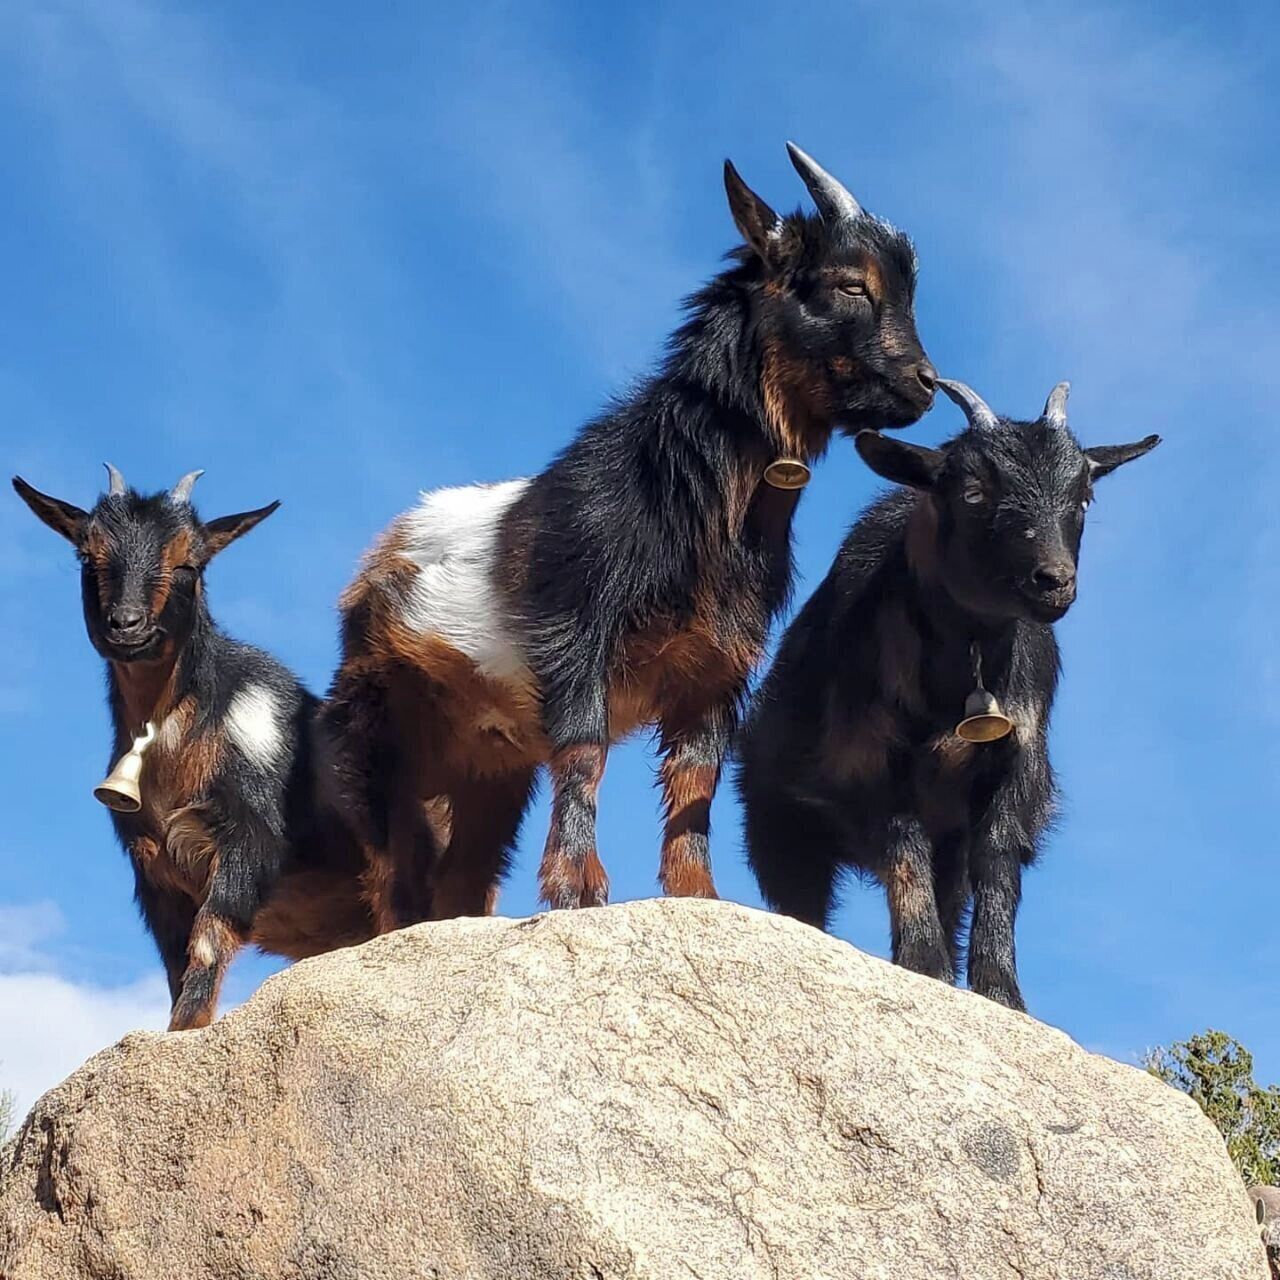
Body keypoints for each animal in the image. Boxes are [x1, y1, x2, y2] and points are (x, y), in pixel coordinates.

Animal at [13, 467, 376, 1030]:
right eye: (87, 556)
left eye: (190, 562)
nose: (127, 624)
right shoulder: (153, 867)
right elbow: (176, 963)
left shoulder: (252, 838)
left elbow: (208, 940)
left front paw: (184, 1029)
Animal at [324, 143, 937, 925]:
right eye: (850, 285)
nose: (925, 384)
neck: (681, 490)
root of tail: (379, 557)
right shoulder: (580, 634)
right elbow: (586, 752)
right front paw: (578, 889)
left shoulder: (716, 667)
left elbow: (696, 780)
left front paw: (699, 895)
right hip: (381, 732)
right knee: (390, 870)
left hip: (488, 764)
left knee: (463, 872)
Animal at [736, 379, 1159, 1009]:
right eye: (974, 491)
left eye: (1084, 496)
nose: (1054, 581)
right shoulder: (873, 757)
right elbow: (903, 849)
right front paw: (923, 965)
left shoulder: (1014, 765)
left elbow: (998, 864)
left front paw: (1000, 990)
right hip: (779, 821)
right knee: (803, 899)